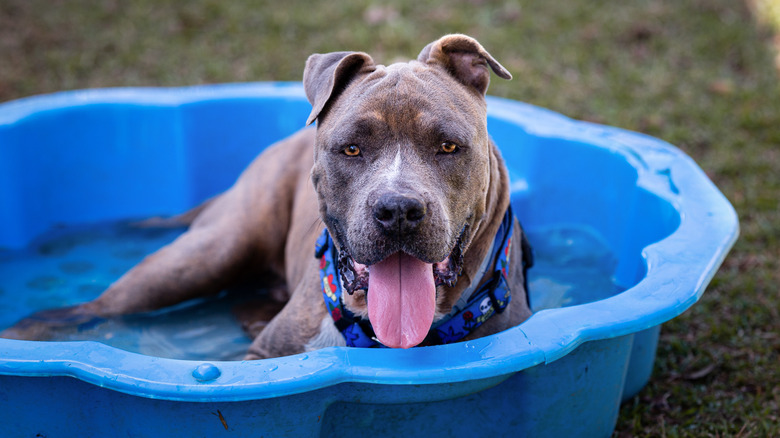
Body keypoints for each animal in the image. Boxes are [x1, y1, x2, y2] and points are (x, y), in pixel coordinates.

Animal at [0, 35, 532, 360]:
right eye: (351, 148)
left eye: (449, 146)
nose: (397, 210)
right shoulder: (262, 355)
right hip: (204, 255)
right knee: (93, 308)